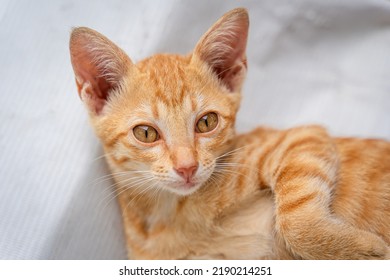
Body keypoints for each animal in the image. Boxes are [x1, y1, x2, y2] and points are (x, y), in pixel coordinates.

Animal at [68, 7, 388, 260]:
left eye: (206, 122)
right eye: (146, 133)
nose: (187, 167)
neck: (173, 213)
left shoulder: (303, 137)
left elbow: (296, 222)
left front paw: (361, 251)